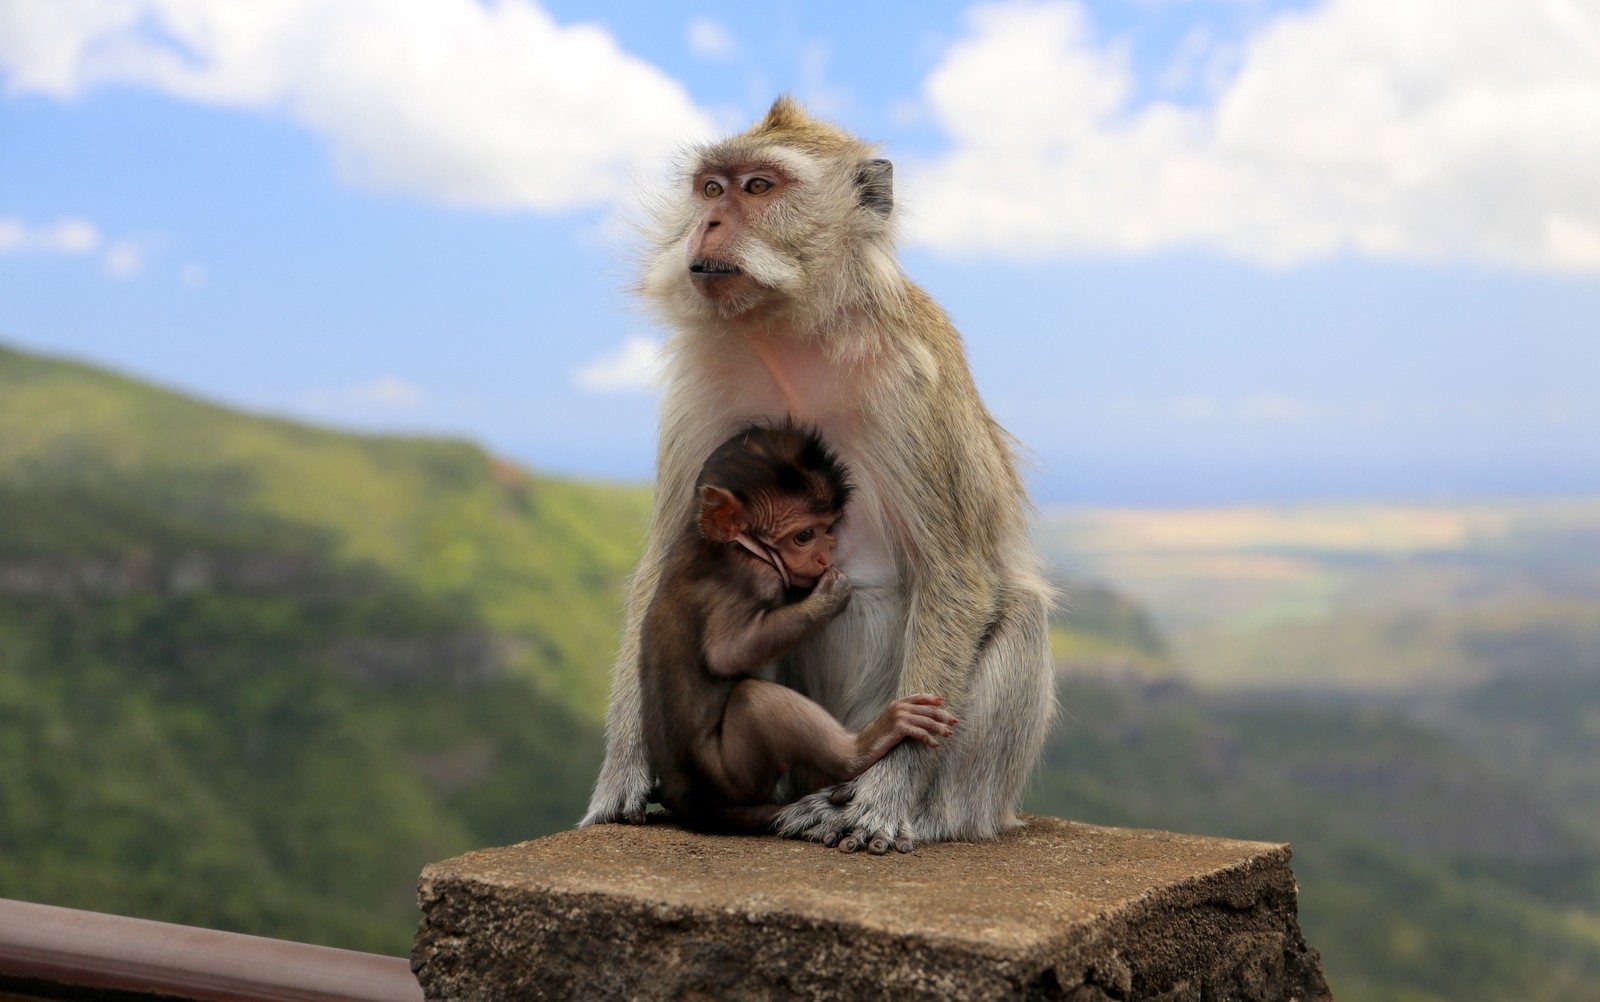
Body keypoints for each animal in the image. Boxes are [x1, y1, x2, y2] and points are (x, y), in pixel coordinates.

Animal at [640, 423, 959, 833]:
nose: (825, 556)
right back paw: (863, 747)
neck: (733, 544)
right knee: (754, 701)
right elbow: (729, 652)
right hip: (735, 776)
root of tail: (696, 806)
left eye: (830, 528)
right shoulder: (754, 576)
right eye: (805, 536)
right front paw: (830, 594)